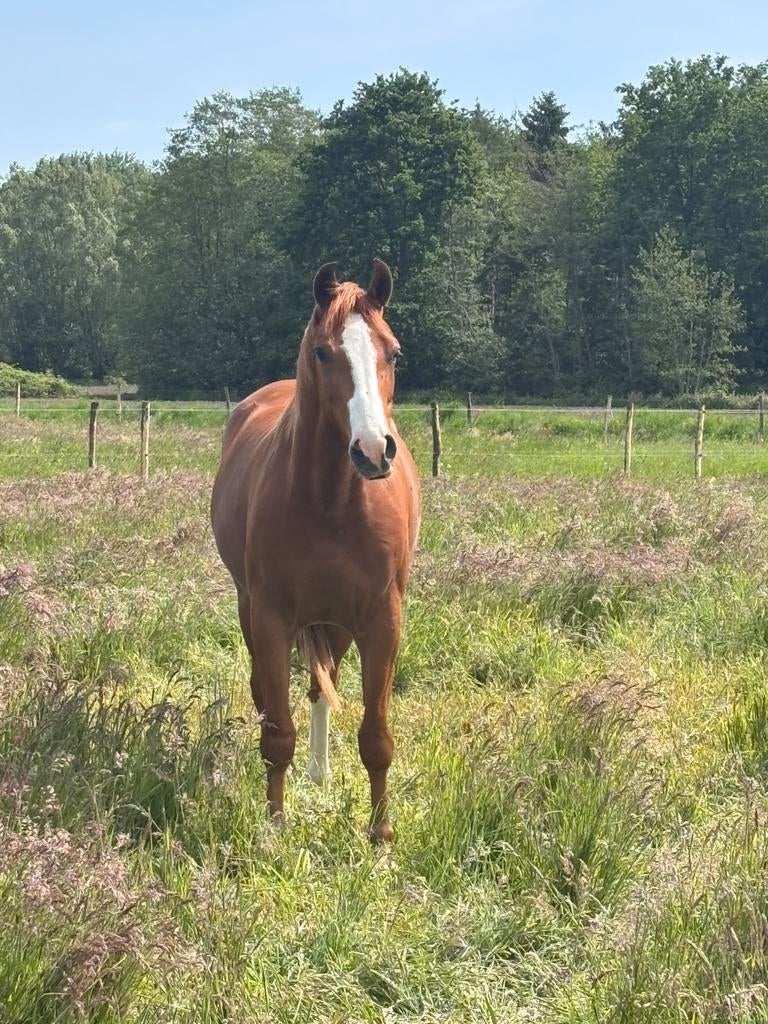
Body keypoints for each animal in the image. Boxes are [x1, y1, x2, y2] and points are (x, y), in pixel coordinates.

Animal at [211, 259, 421, 842]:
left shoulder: (381, 620)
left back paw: (321, 771)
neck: (331, 502)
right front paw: (275, 828)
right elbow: (277, 732)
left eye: (394, 352)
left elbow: (376, 736)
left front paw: (380, 834)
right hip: (255, 610)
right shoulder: (271, 617)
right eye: (324, 352)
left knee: (317, 688)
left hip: (337, 623)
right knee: (268, 693)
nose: (373, 450)